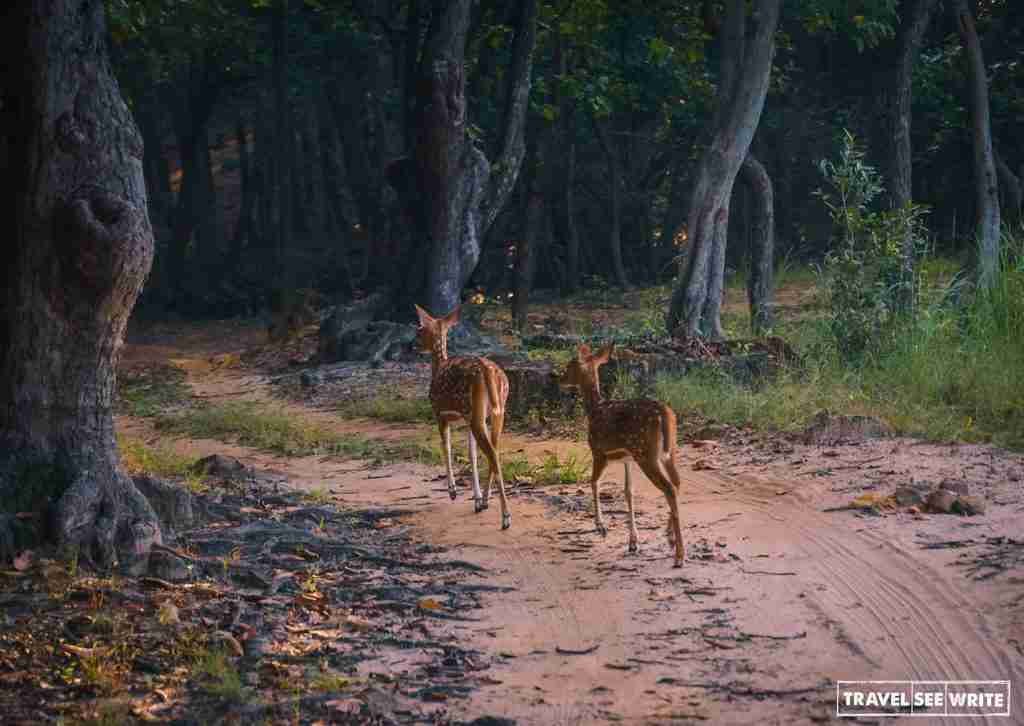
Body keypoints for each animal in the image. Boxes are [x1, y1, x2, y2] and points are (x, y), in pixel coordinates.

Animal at [413, 303, 512, 528]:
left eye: (419, 330)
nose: (412, 347)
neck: (438, 368)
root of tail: (488, 371)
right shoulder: (466, 419)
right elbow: (471, 454)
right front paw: (476, 499)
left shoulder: (439, 413)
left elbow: (446, 446)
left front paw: (452, 491)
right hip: (496, 411)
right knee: (495, 450)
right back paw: (486, 500)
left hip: (476, 413)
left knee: (492, 453)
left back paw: (505, 517)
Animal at [561, 344, 688, 565]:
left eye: (570, 365)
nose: (560, 379)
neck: (593, 410)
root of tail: (665, 414)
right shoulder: (626, 459)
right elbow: (628, 491)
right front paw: (633, 541)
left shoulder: (598, 451)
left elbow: (594, 482)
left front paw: (600, 526)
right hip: (669, 451)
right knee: (677, 482)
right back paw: (670, 538)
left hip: (646, 453)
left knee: (669, 488)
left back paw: (679, 555)